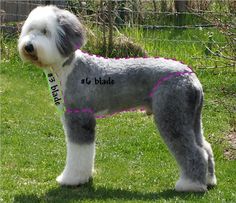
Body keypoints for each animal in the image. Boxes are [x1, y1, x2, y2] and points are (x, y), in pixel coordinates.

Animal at [18, 5, 218, 192]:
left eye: (45, 31)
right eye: (30, 29)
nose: (28, 46)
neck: (68, 67)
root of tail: (192, 78)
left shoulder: (80, 118)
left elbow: (78, 151)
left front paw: (71, 179)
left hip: (171, 115)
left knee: (194, 151)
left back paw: (190, 185)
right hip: (191, 118)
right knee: (205, 147)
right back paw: (208, 181)